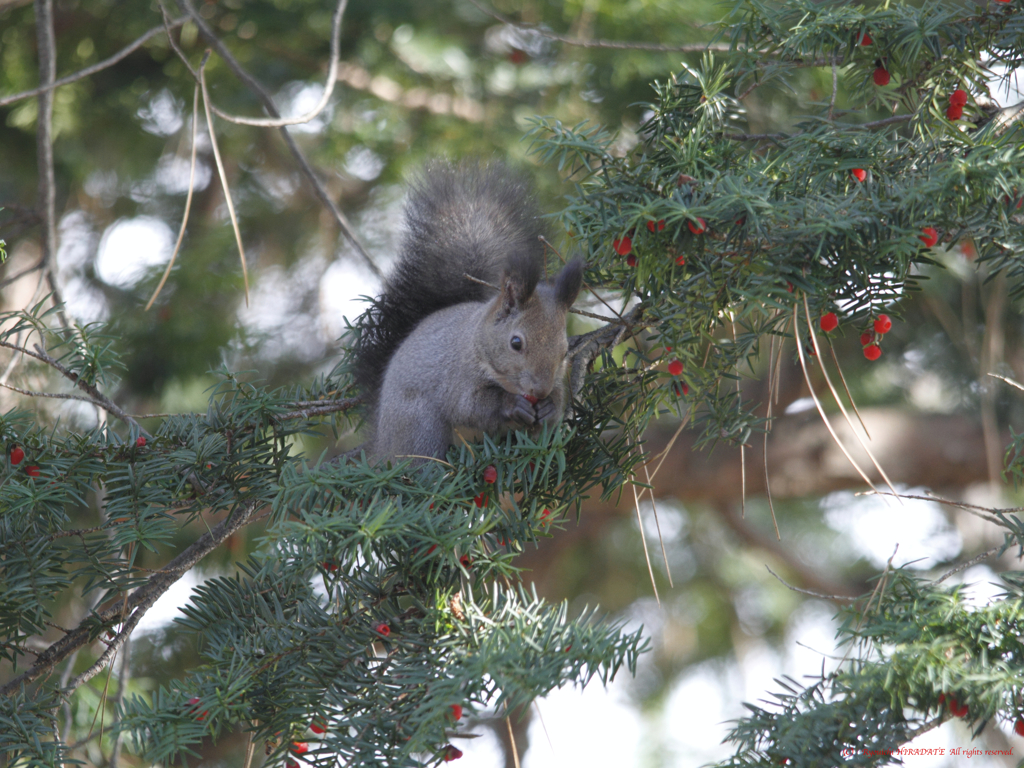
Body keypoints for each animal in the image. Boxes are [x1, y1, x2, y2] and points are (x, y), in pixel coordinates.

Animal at [356, 160, 585, 462]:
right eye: (516, 343)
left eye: (564, 350)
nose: (540, 389)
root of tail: (383, 444)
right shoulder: (458, 378)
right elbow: (469, 406)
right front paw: (512, 403)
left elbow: (557, 404)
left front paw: (549, 407)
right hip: (420, 425)